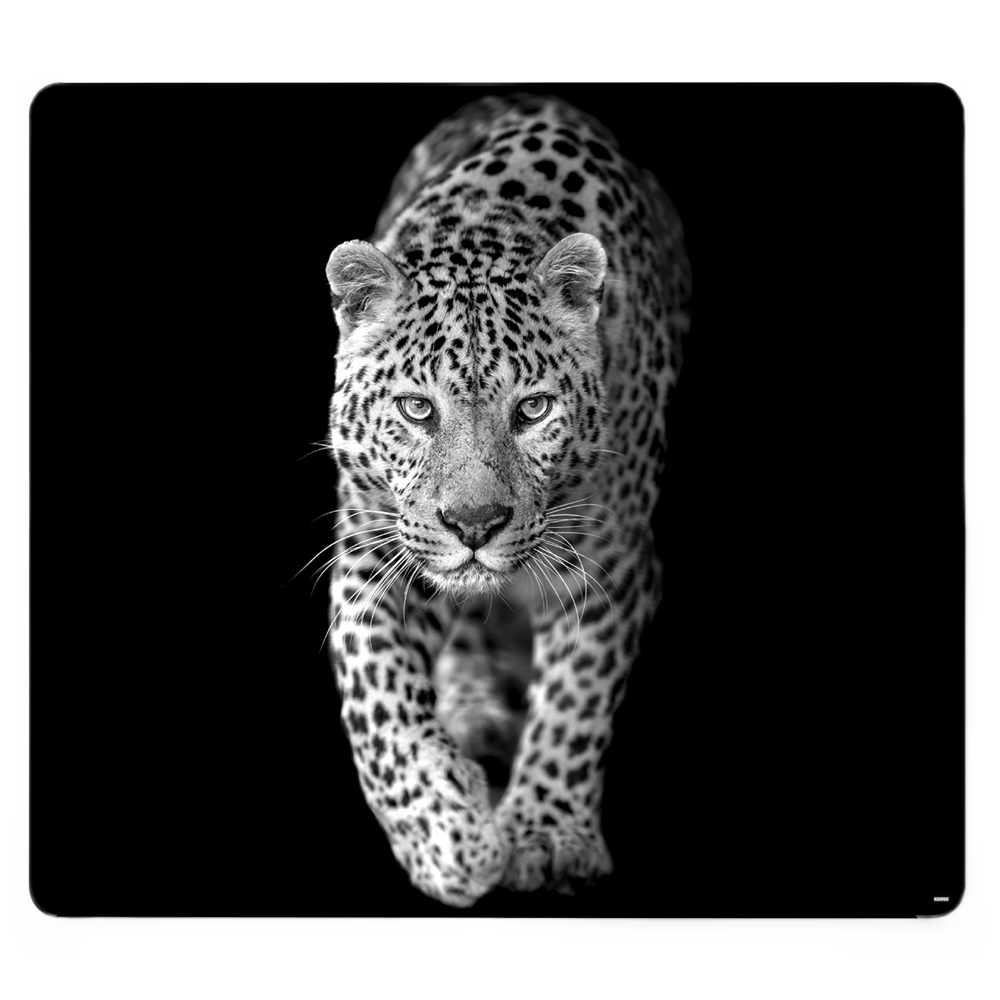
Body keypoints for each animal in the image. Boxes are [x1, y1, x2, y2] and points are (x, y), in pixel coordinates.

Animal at [323, 93, 691, 907]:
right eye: (416, 409)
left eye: (532, 410)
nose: (474, 525)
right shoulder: (371, 554)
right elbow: (381, 703)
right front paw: (446, 838)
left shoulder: (613, 564)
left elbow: (577, 701)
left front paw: (546, 833)